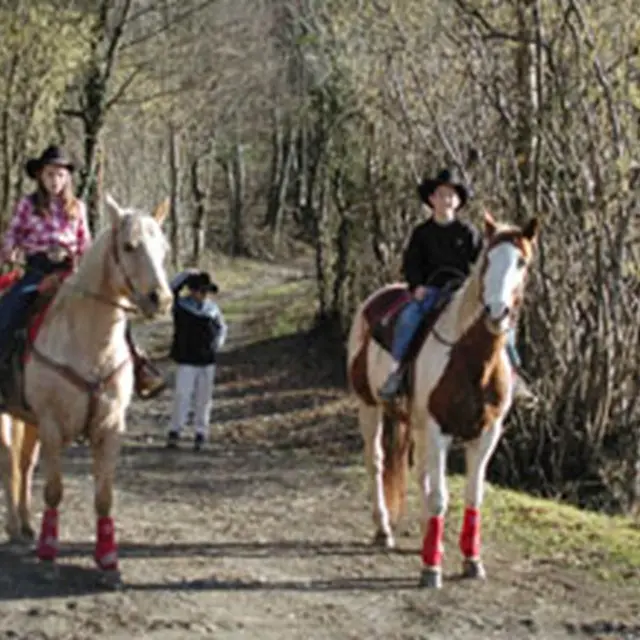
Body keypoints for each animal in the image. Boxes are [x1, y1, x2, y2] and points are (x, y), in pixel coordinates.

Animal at [0, 194, 173, 581]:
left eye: (165, 249)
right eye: (130, 246)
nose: (162, 299)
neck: (89, 342)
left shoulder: (109, 427)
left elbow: (104, 496)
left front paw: (108, 561)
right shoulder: (52, 425)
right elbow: (53, 491)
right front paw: (48, 557)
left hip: (28, 420)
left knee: (24, 464)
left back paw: (25, 526)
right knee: (9, 462)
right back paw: (15, 527)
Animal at [346, 212, 539, 589]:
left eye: (521, 262)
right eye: (487, 260)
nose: (497, 311)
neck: (471, 359)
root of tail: (373, 300)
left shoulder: (486, 434)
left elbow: (472, 496)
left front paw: (471, 561)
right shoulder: (438, 429)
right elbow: (439, 497)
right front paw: (431, 569)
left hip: (415, 425)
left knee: (421, 471)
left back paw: (423, 538)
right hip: (369, 407)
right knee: (376, 462)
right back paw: (383, 529)